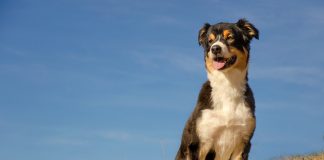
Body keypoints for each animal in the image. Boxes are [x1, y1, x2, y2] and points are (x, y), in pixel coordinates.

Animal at [176, 19, 260, 160]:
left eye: (230, 37)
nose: (215, 48)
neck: (227, 85)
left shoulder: (242, 144)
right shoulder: (199, 143)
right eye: (210, 41)